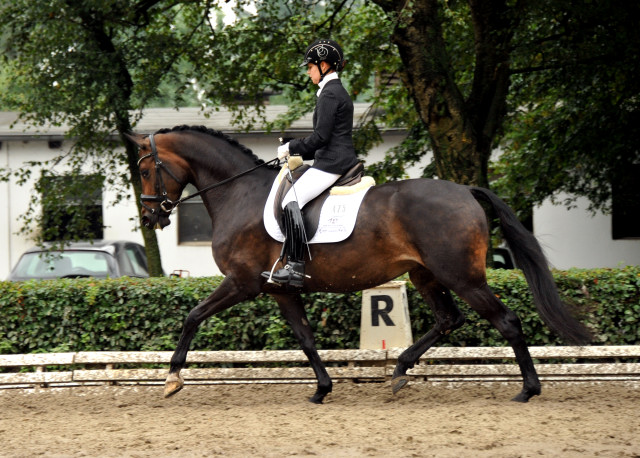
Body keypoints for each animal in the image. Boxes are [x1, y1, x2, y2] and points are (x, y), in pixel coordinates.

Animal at [127, 124, 592, 404]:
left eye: (146, 170)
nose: (151, 218)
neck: (238, 194)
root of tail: (466, 190)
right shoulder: (279, 289)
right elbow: (306, 338)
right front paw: (322, 389)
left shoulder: (242, 282)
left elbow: (192, 315)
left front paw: (172, 379)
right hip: (425, 274)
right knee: (449, 319)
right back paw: (400, 370)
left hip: (462, 276)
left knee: (506, 321)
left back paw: (528, 390)